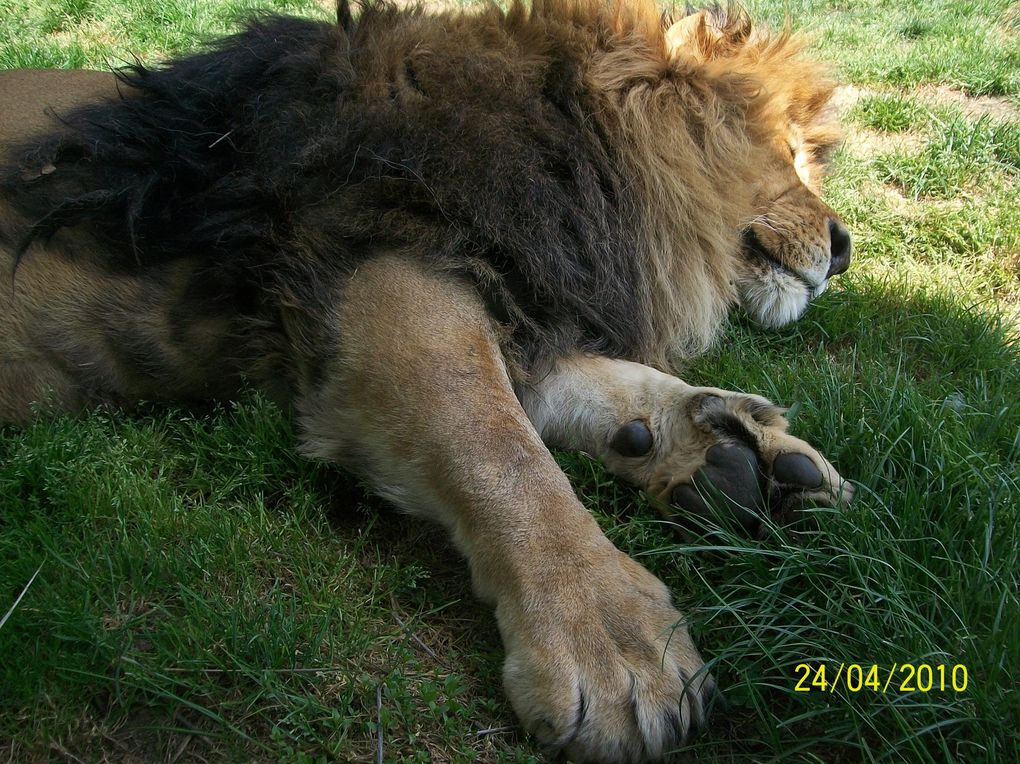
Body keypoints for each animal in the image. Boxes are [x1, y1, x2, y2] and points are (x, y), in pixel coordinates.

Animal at [1, 2, 852, 758]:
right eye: (790, 151)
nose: (844, 248)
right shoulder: (379, 264)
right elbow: (499, 450)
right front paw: (613, 641)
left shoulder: (518, 291)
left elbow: (598, 390)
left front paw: (741, 453)